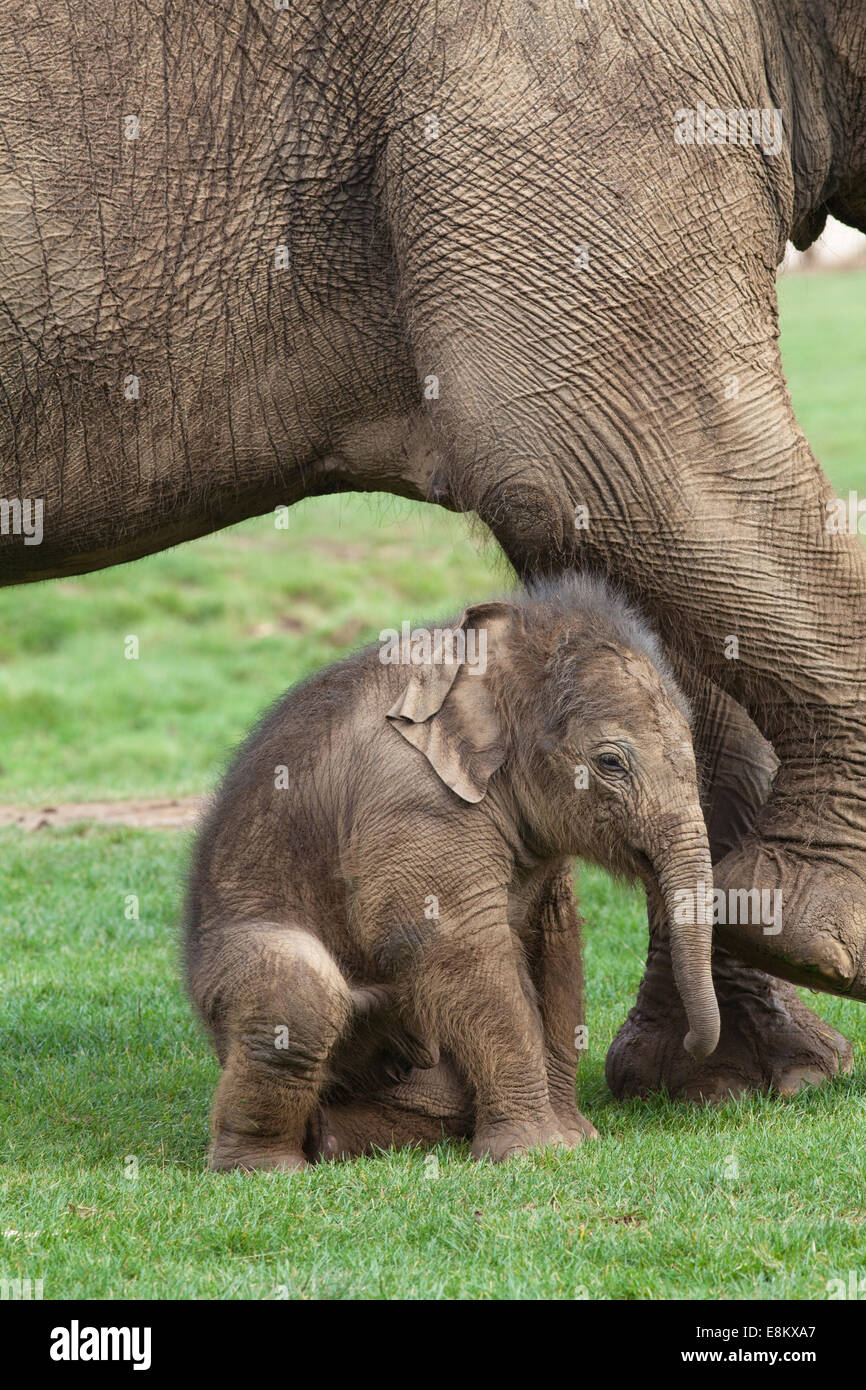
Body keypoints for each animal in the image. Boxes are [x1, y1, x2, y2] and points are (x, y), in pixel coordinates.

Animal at [186, 569, 722, 1167]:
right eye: (610, 763)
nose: (692, 1046)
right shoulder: (411, 796)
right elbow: (459, 943)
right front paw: (535, 1154)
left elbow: (557, 940)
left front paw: (576, 1140)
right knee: (301, 993)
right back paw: (267, 1169)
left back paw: (334, 1138)